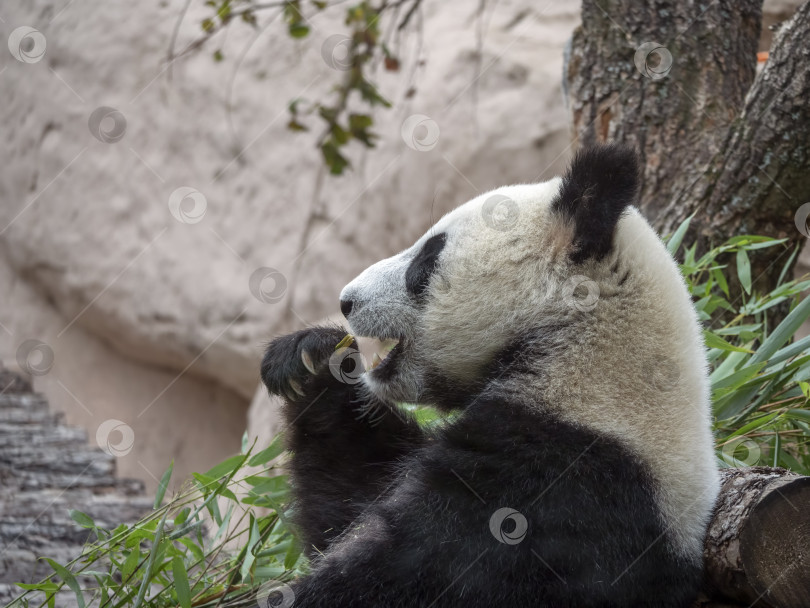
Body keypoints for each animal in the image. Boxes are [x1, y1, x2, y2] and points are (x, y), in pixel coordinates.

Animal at [260, 144, 720, 608]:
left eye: (428, 258)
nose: (346, 301)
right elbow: (352, 499)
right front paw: (310, 360)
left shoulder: (555, 485)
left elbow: (405, 571)